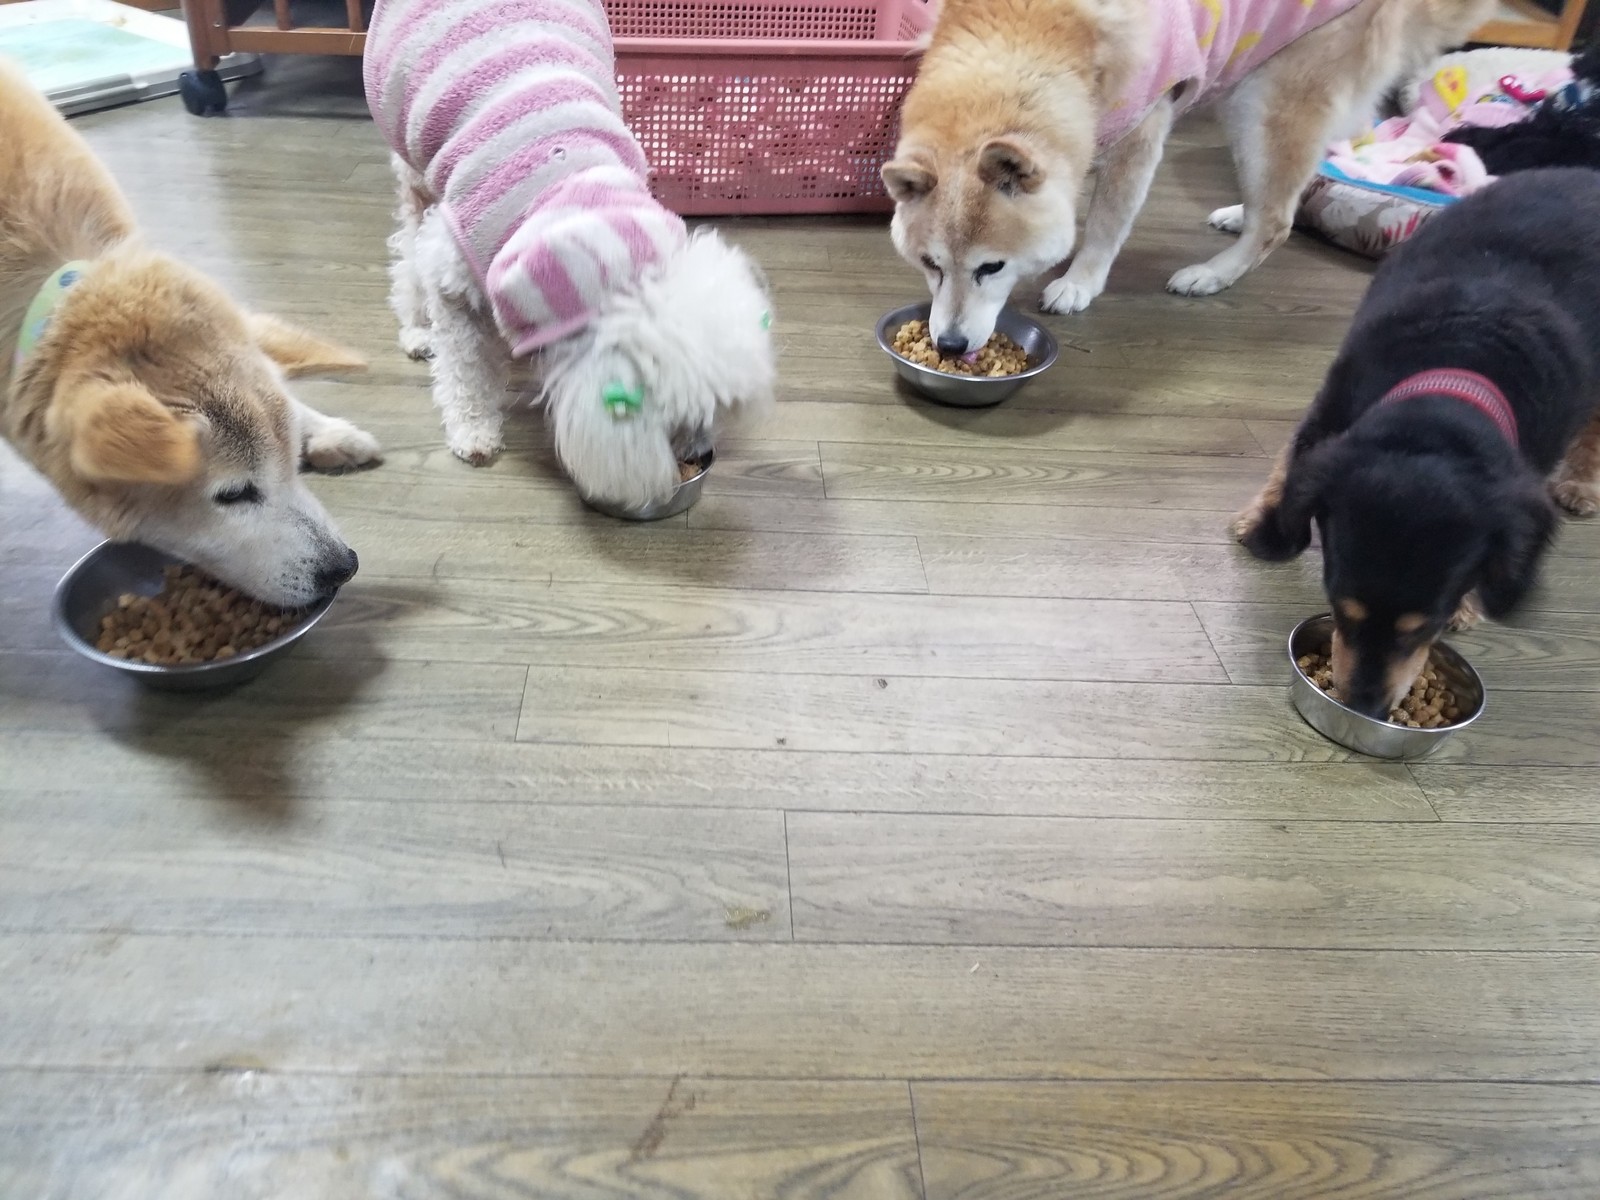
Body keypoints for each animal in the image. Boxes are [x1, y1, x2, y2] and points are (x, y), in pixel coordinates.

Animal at [364, 0, 777, 510]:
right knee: (407, 248)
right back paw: (418, 331)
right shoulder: (454, 277)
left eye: (715, 407)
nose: (699, 452)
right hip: (411, 162)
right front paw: (473, 431)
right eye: (674, 413)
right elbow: (465, 368)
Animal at [881, 0, 1493, 355]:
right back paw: (1240, 212)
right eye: (931, 264)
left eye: (992, 267)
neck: (1038, 34)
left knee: (1277, 220)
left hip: (1264, 98)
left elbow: (1107, 221)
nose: (950, 345)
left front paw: (1080, 280)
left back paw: (1212, 274)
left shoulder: (1143, 125)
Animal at [1233, 168, 1600, 718]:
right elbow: (1292, 465)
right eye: (1340, 608)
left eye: (1426, 626)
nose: (1364, 707)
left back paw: (1580, 484)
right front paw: (1263, 528)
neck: (1457, 376)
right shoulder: (1332, 409)